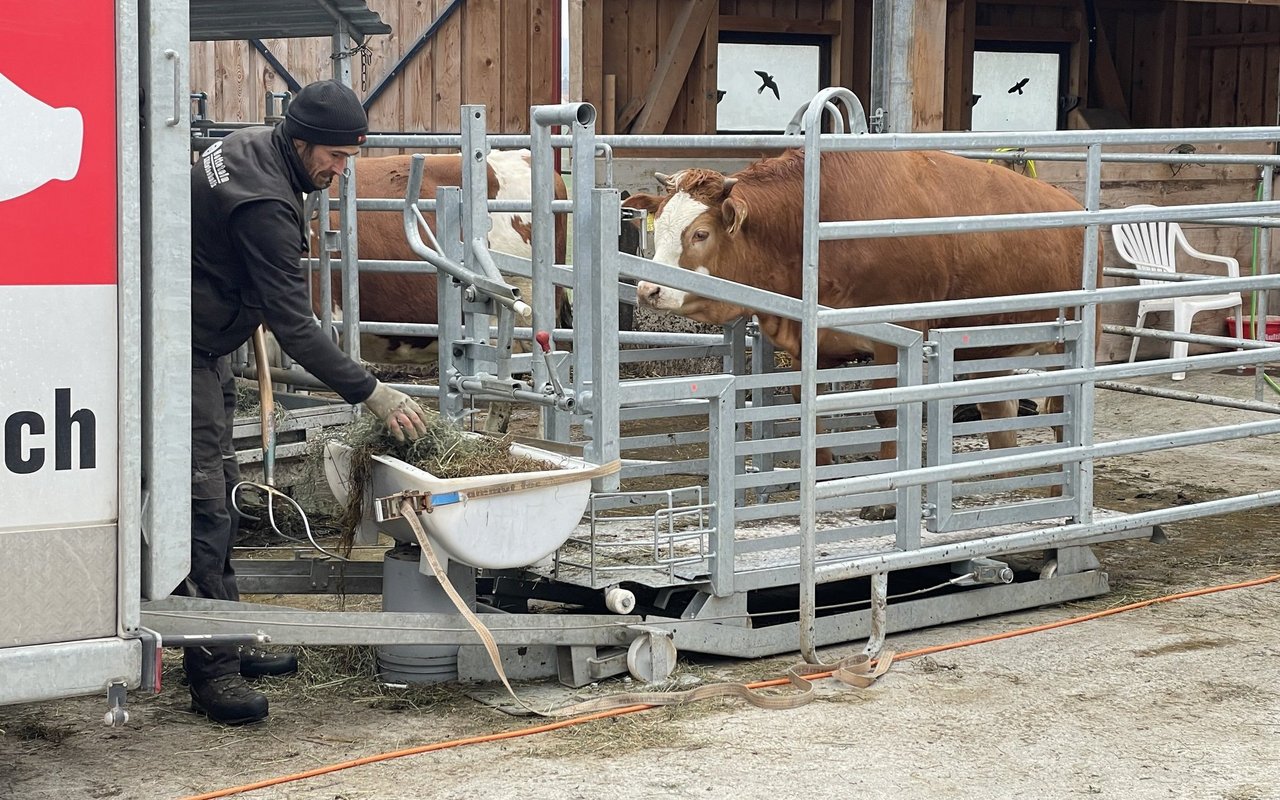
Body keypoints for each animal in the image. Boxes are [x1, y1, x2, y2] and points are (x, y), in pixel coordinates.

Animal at [619, 148, 1090, 517]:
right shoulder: (814, 344)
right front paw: (824, 478)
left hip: (1073, 341)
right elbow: (810, 405)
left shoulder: (895, 337)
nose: (648, 290)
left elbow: (887, 411)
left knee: (1064, 412)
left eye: (700, 233)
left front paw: (884, 499)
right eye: (659, 227)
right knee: (998, 409)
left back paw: (1059, 489)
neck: (815, 227)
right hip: (991, 346)